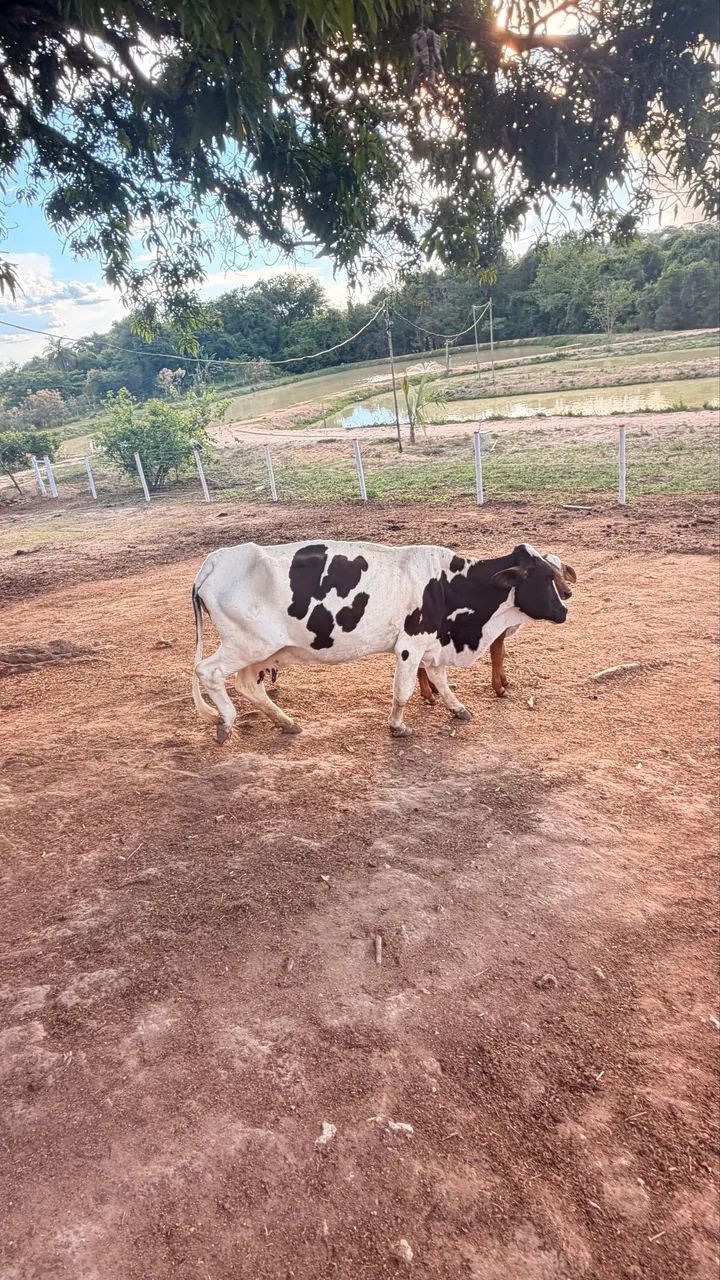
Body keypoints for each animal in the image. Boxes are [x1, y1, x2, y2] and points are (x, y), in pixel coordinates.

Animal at [191, 540, 575, 743]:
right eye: (546, 576)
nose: (565, 609)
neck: (447, 584)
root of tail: (216, 559)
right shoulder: (411, 643)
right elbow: (403, 690)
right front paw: (397, 724)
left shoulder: (432, 644)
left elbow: (440, 680)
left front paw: (457, 708)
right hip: (247, 645)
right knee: (207, 671)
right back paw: (226, 720)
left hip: (263, 651)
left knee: (247, 684)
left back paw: (285, 722)